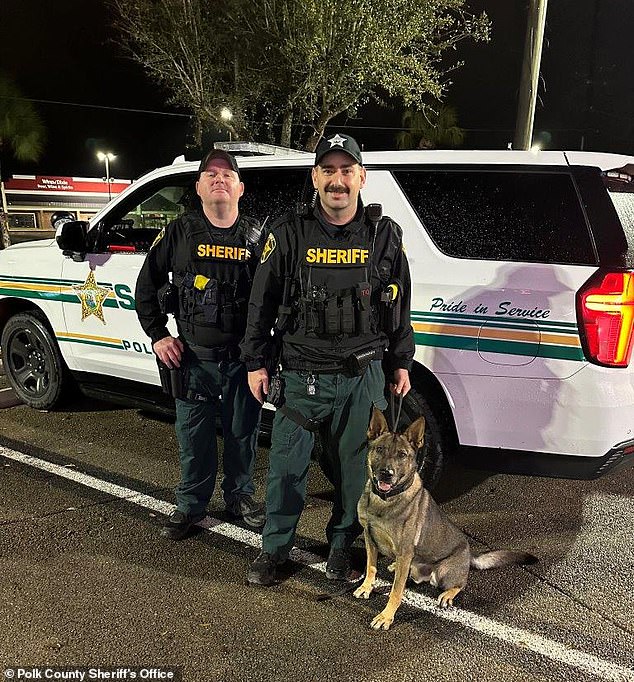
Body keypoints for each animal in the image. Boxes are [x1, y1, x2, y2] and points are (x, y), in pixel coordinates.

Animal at [354, 406, 536, 628]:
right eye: (380, 449)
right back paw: (397, 565)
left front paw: (386, 616)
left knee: (460, 584)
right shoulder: (370, 539)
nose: (386, 473)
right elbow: (370, 567)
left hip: (444, 572)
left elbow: (396, 591)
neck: (384, 500)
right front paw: (367, 587)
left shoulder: (404, 550)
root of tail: (469, 555)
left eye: (402, 455)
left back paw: (448, 594)